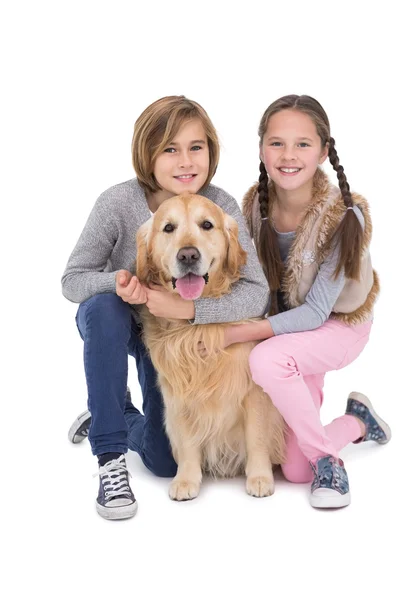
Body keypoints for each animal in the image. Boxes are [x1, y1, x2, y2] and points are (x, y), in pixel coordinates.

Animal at [136, 195, 286, 500]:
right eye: (168, 228)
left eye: (207, 225)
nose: (188, 256)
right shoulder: (178, 391)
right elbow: (187, 440)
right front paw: (186, 480)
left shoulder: (253, 391)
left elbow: (256, 436)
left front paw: (260, 478)